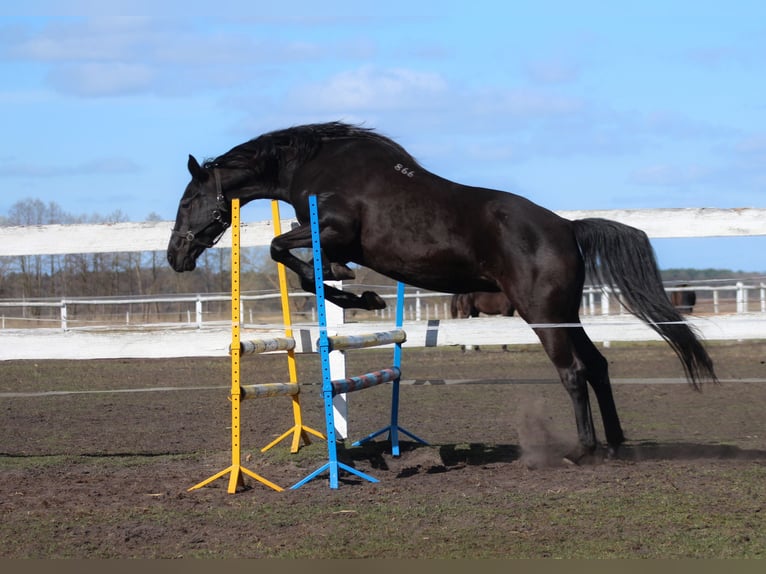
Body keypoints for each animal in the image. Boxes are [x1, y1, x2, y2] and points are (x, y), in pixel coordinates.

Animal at [167, 121, 718, 461]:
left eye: (189, 200)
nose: (175, 256)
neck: (319, 165)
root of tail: (566, 226)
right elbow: (297, 263)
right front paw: (357, 292)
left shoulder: (333, 229)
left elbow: (286, 253)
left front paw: (357, 295)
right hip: (563, 314)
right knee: (598, 366)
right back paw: (616, 444)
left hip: (542, 314)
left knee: (575, 372)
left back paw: (581, 451)